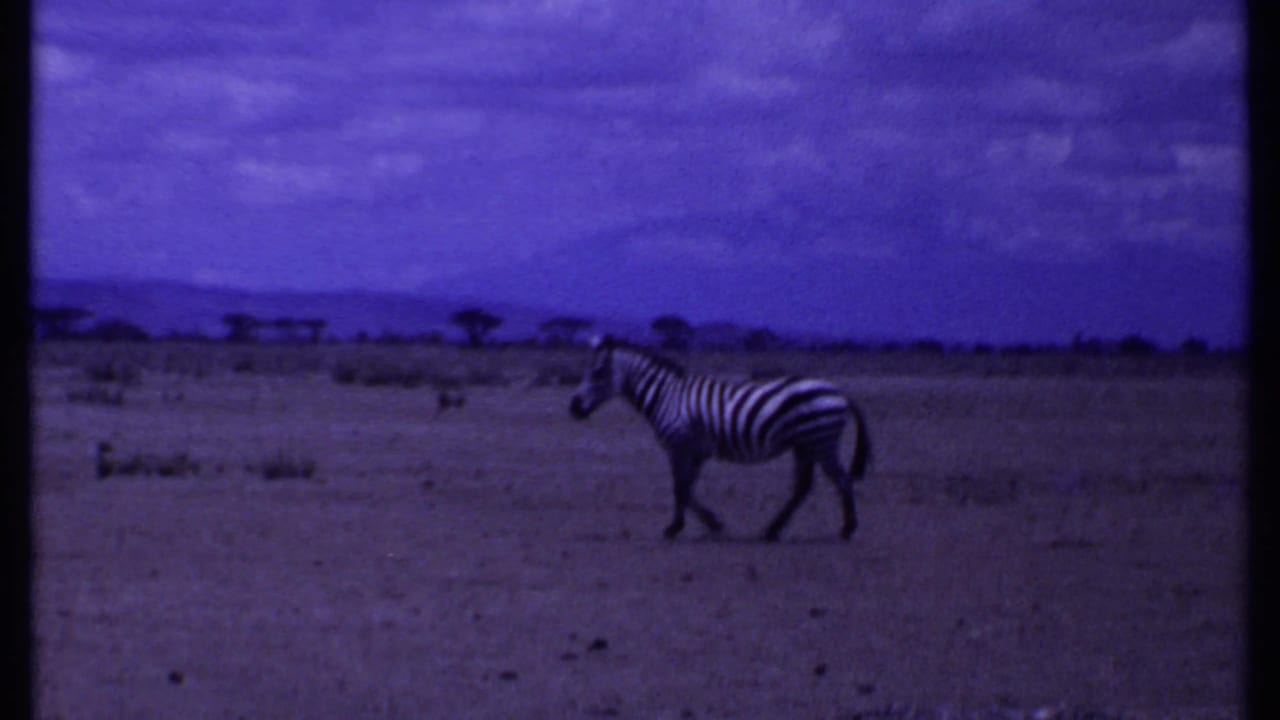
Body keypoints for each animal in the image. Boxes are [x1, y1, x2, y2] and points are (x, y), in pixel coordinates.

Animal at [569, 335, 872, 542]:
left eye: (597, 372)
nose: (573, 408)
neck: (666, 397)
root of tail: (839, 392)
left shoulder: (679, 445)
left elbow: (680, 488)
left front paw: (676, 527)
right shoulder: (696, 450)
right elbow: (688, 489)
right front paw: (711, 523)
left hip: (820, 440)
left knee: (841, 480)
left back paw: (847, 528)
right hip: (805, 444)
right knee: (803, 487)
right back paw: (773, 529)